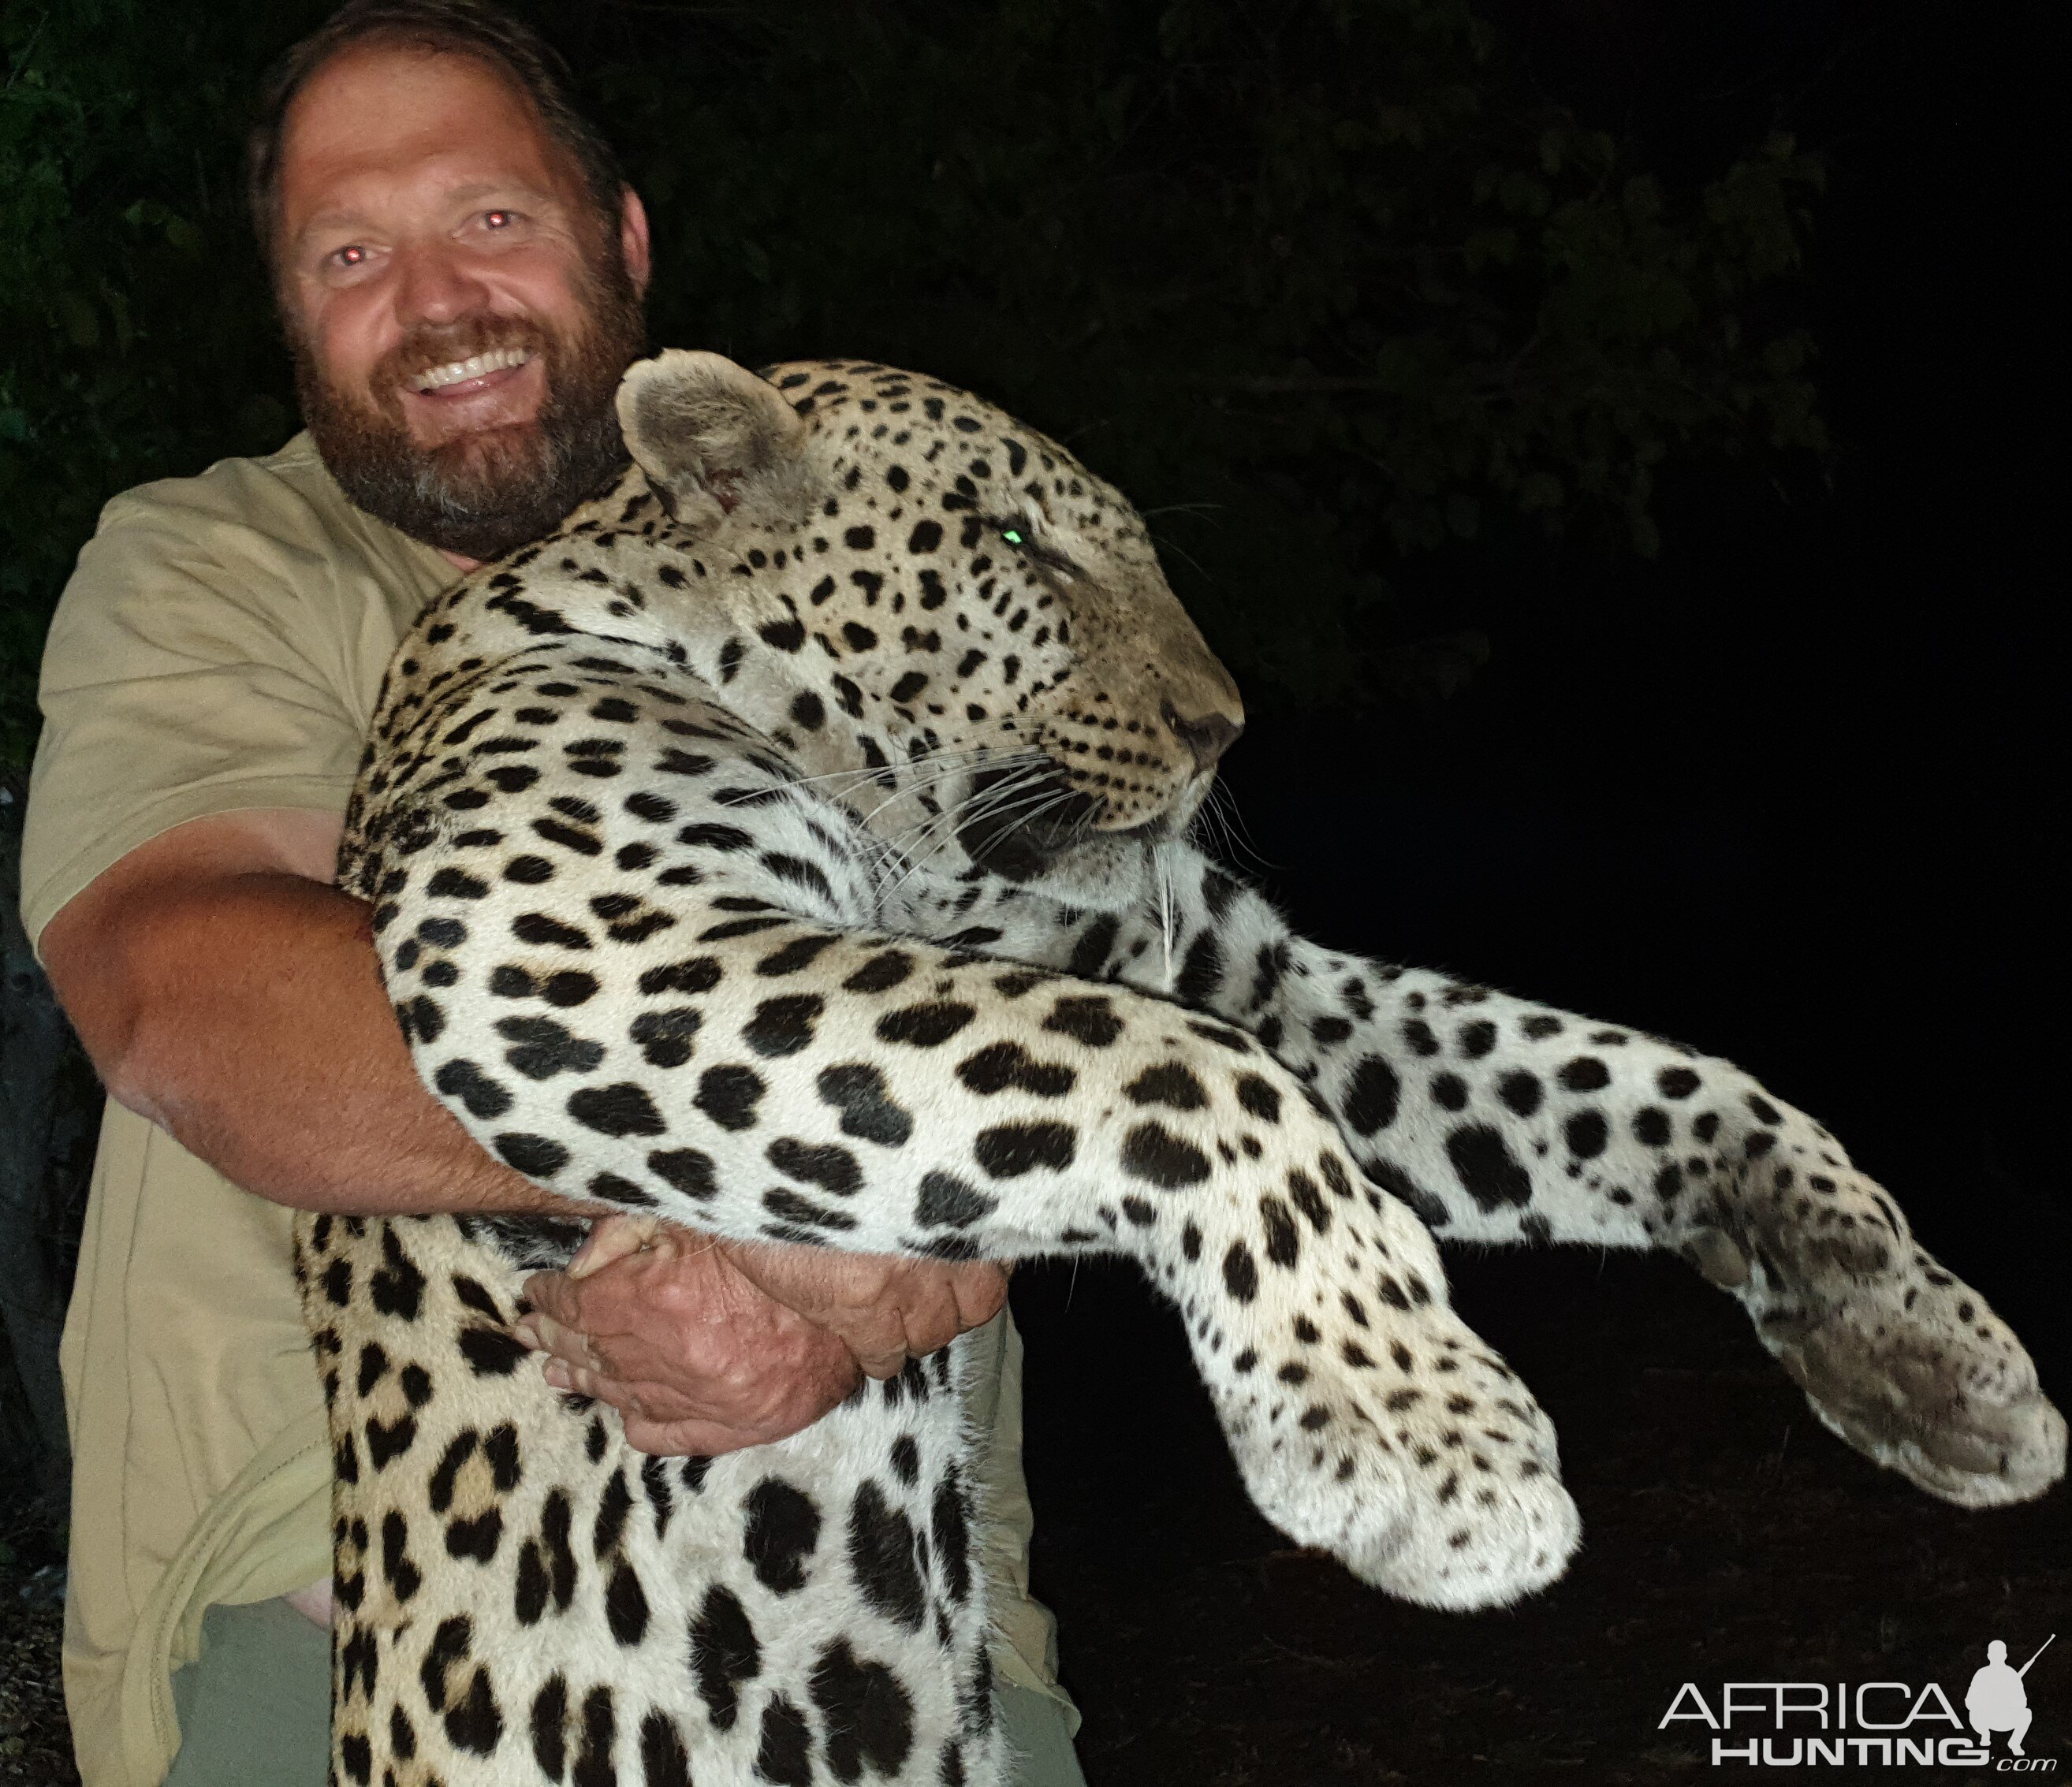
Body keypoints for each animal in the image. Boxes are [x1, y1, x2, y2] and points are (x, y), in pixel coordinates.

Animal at [296, 349, 2072, 1787]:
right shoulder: (562, 935)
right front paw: (1420, 1432)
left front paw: (1911, 1333)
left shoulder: (1263, 978)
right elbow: (1177, 1069)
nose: (1223, 724)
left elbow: (1621, 1074)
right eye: (1020, 547)